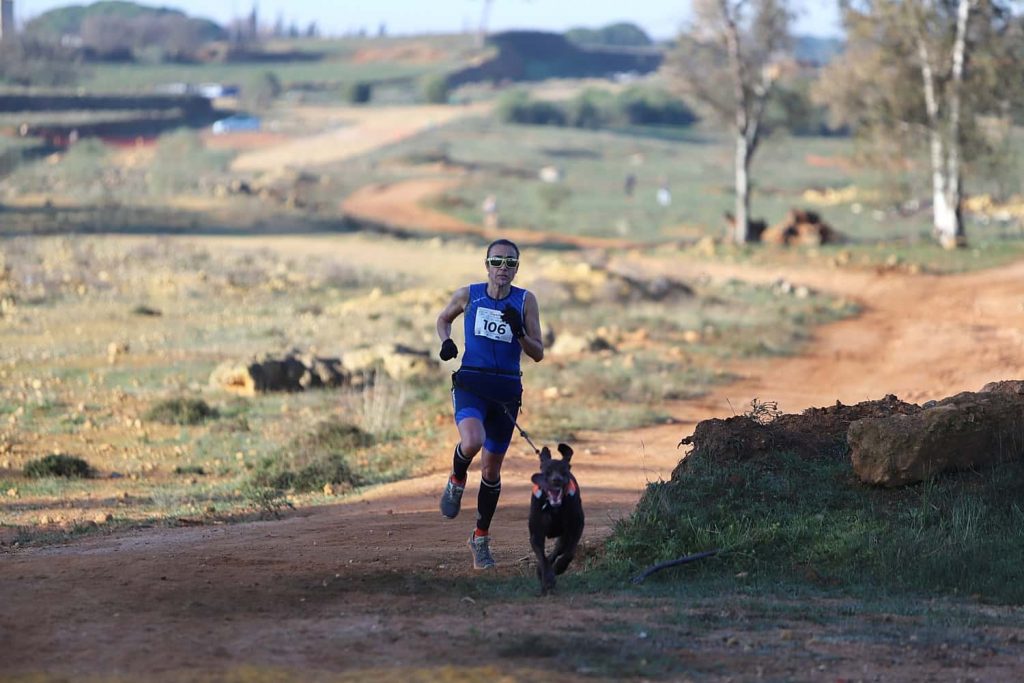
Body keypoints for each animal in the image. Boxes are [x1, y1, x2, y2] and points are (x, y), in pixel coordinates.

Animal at [528, 446, 585, 593]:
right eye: (547, 471)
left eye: (564, 471)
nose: (556, 480)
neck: (554, 508)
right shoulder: (536, 534)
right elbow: (542, 558)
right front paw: (547, 579)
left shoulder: (576, 527)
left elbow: (570, 552)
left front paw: (560, 567)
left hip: (564, 535)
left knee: (559, 549)